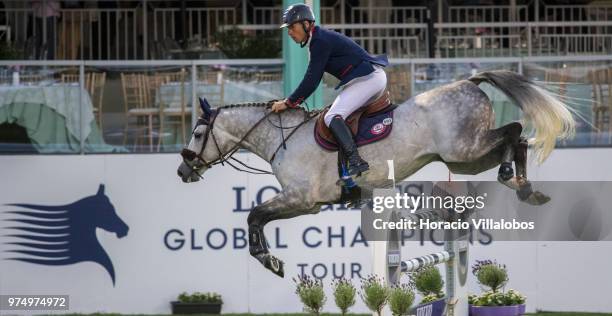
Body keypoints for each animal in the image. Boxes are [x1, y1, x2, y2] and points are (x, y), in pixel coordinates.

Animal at [176, 71, 572, 276]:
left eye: (197, 133)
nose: (182, 170)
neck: (281, 136)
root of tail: (470, 81)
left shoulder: (300, 199)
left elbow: (254, 215)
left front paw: (268, 260)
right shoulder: (307, 205)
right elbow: (257, 217)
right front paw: (270, 258)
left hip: (464, 149)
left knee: (515, 131)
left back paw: (511, 175)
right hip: (464, 160)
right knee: (517, 141)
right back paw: (526, 188)